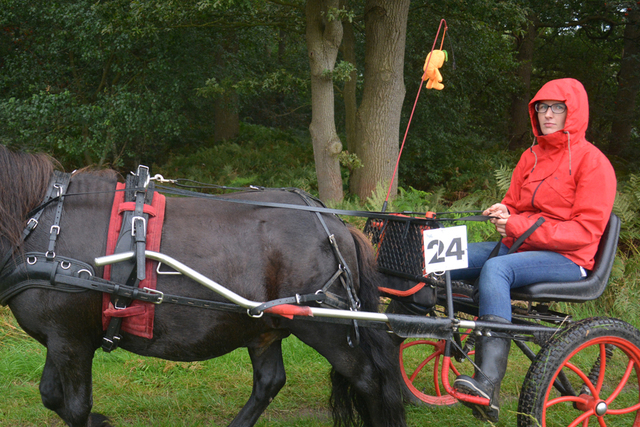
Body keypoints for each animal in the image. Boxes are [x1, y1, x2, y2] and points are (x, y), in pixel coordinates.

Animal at [0, 145, 408, 426]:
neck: (41, 222)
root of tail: (335, 224)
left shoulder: (70, 339)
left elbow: (74, 407)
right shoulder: (60, 337)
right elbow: (51, 396)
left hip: (327, 327)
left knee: (369, 380)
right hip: (266, 326)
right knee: (269, 382)